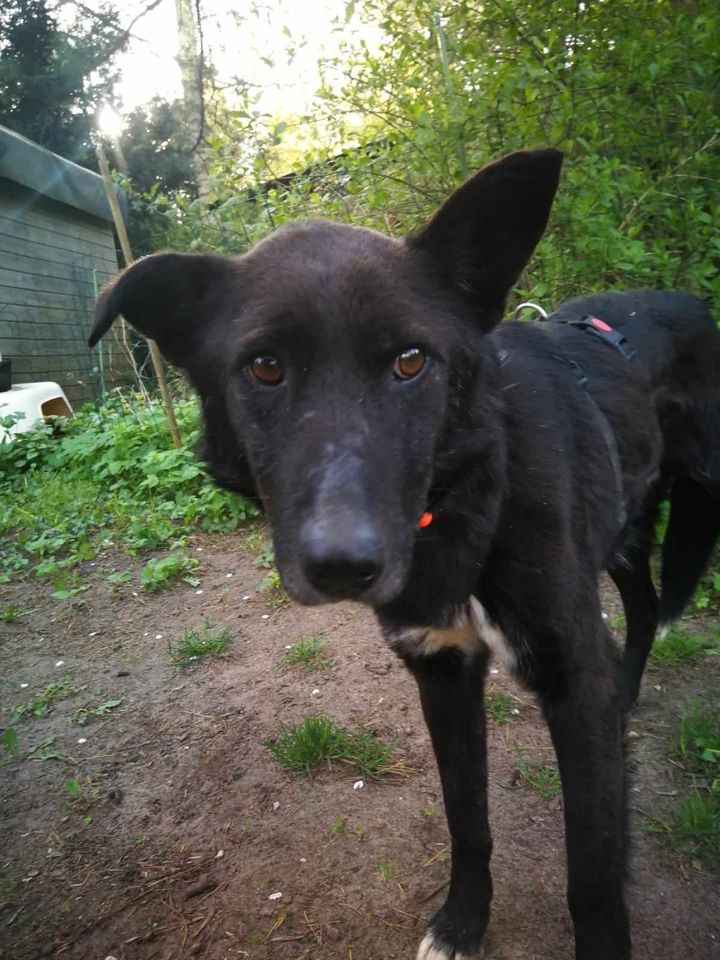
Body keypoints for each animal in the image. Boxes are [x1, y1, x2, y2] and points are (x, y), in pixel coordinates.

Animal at [88, 150, 720, 960]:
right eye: (265, 368)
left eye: (412, 361)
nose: (342, 565)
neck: (466, 500)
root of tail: (692, 302)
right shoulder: (442, 673)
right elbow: (466, 821)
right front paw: (462, 923)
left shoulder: (573, 682)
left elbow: (594, 877)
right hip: (619, 531)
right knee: (642, 603)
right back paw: (632, 691)